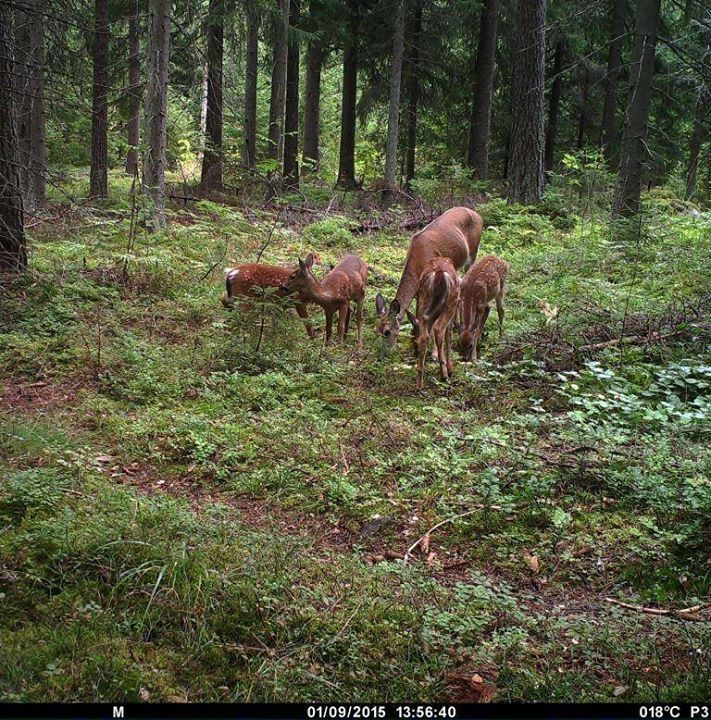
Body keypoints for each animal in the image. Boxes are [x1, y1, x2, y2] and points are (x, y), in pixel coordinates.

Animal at [372, 205, 484, 348]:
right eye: (376, 330)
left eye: (387, 331)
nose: (385, 351)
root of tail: (477, 214)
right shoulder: (420, 290)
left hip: (473, 253)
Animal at [412, 258, 462, 390]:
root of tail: (439, 274)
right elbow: (449, 336)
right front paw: (450, 369)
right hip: (450, 303)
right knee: (439, 329)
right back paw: (444, 375)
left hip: (423, 299)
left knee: (424, 336)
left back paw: (419, 382)